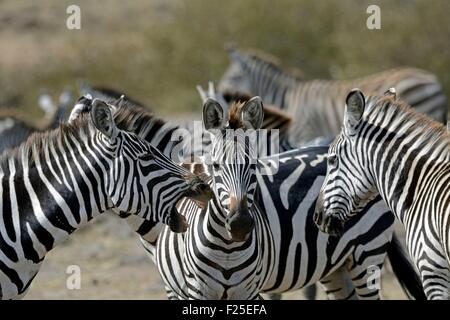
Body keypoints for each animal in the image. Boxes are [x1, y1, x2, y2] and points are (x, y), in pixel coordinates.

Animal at [148, 97, 426, 300]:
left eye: (254, 165)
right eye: (215, 166)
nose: (240, 224)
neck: (226, 248)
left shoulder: (248, 291)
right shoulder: (194, 293)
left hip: (367, 254)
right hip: (335, 267)